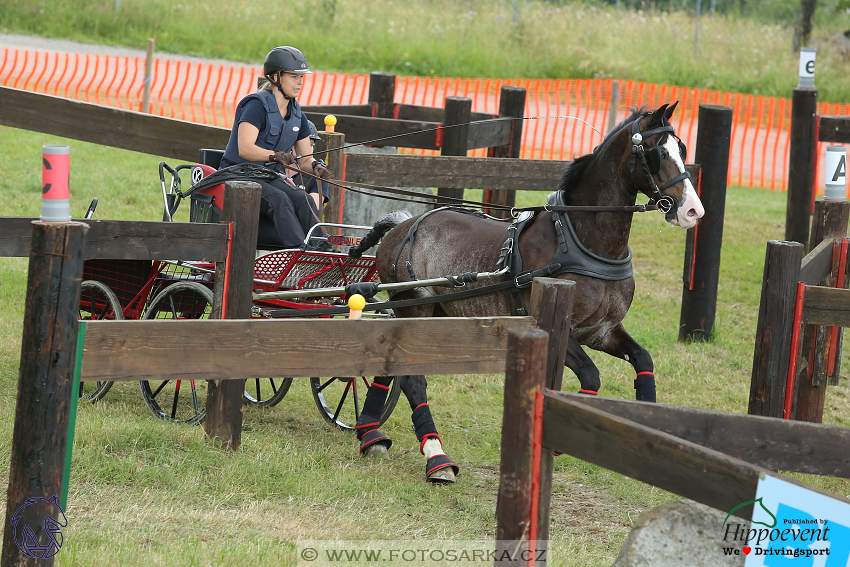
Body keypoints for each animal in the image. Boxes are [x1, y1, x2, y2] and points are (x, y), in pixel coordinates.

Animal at [344, 103, 704, 484]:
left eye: (682, 151)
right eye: (656, 153)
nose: (693, 211)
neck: (581, 239)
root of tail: (400, 225)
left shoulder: (601, 330)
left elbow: (643, 359)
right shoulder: (554, 327)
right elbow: (591, 375)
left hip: (431, 311)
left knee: (388, 366)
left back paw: (370, 435)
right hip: (413, 309)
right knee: (412, 380)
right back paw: (436, 456)